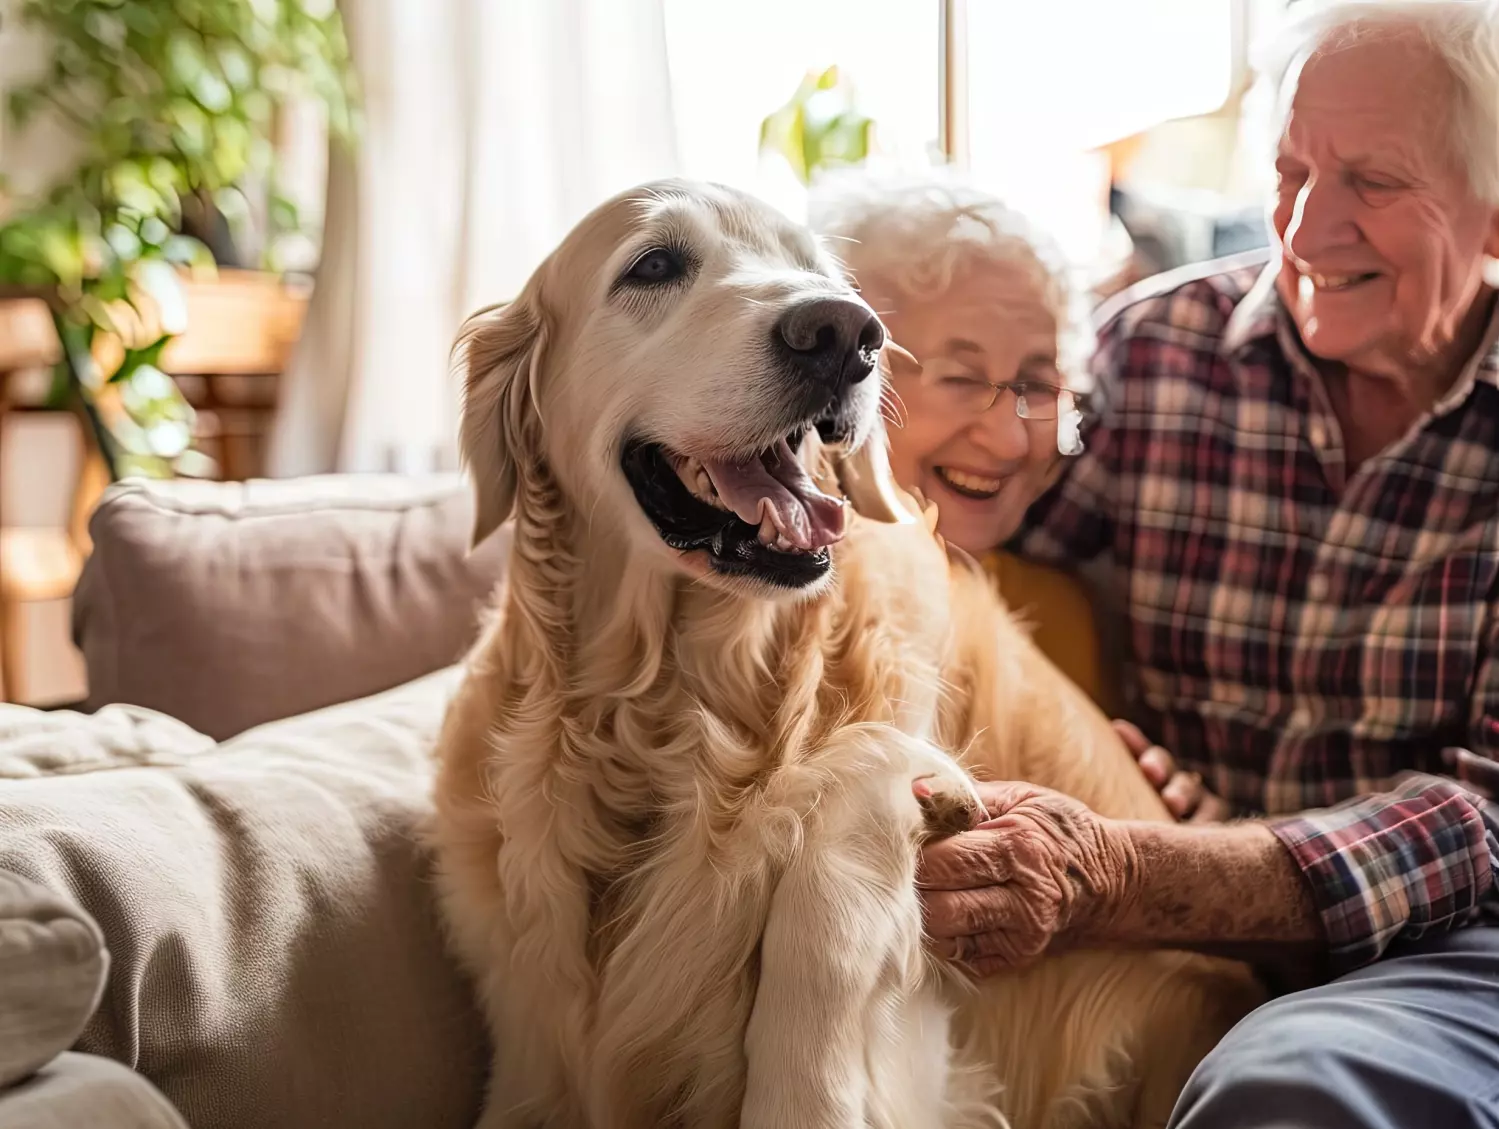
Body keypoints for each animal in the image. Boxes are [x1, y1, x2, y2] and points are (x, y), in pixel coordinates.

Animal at [428, 178, 1259, 1127]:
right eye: (653, 264)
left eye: (816, 270)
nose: (841, 332)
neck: (672, 705)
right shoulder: (531, 1037)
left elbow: (844, 807)